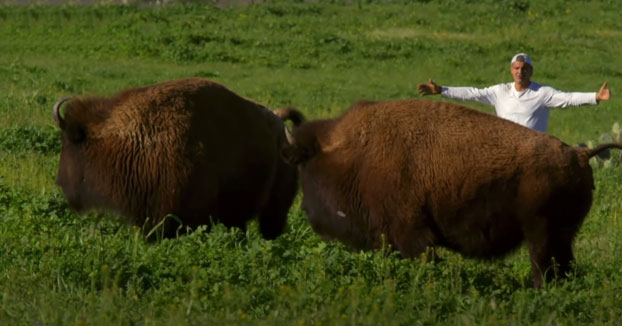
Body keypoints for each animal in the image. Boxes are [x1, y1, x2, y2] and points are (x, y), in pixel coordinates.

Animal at [280, 99, 622, 288]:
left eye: (303, 161)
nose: (306, 211)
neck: (350, 150)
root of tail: (579, 155)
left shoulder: (412, 235)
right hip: (562, 237)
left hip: (541, 234)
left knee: (543, 266)